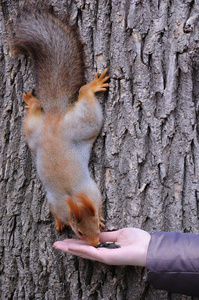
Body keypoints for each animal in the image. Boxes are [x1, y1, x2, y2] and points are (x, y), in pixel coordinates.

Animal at [10, 6, 109, 246]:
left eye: (96, 225)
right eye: (79, 233)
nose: (96, 244)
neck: (72, 196)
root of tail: (54, 119)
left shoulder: (93, 192)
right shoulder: (56, 202)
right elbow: (55, 212)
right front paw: (59, 222)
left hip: (70, 125)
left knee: (79, 94)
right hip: (54, 129)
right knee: (77, 95)